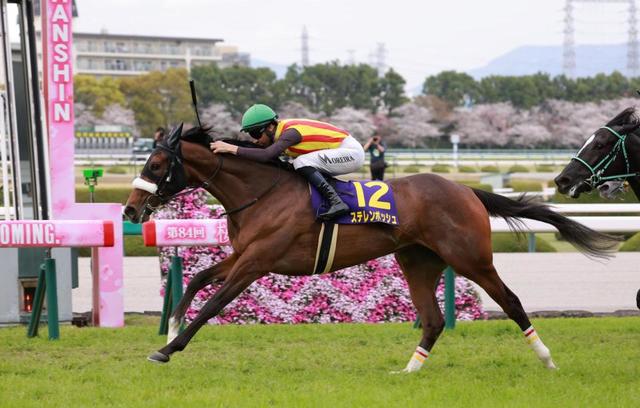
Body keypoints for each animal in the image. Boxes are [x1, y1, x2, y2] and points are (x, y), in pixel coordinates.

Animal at [124, 124, 619, 372]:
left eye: (156, 164)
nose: (130, 209)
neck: (262, 192)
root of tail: (467, 191)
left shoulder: (257, 261)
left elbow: (215, 303)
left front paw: (169, 348)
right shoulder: (242, 255)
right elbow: (198, 281)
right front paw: (170, 326)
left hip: (470, 258)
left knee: (511, 301)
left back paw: (547, 359)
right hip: (417, 260)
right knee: (433, 319)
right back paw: (409, 371)